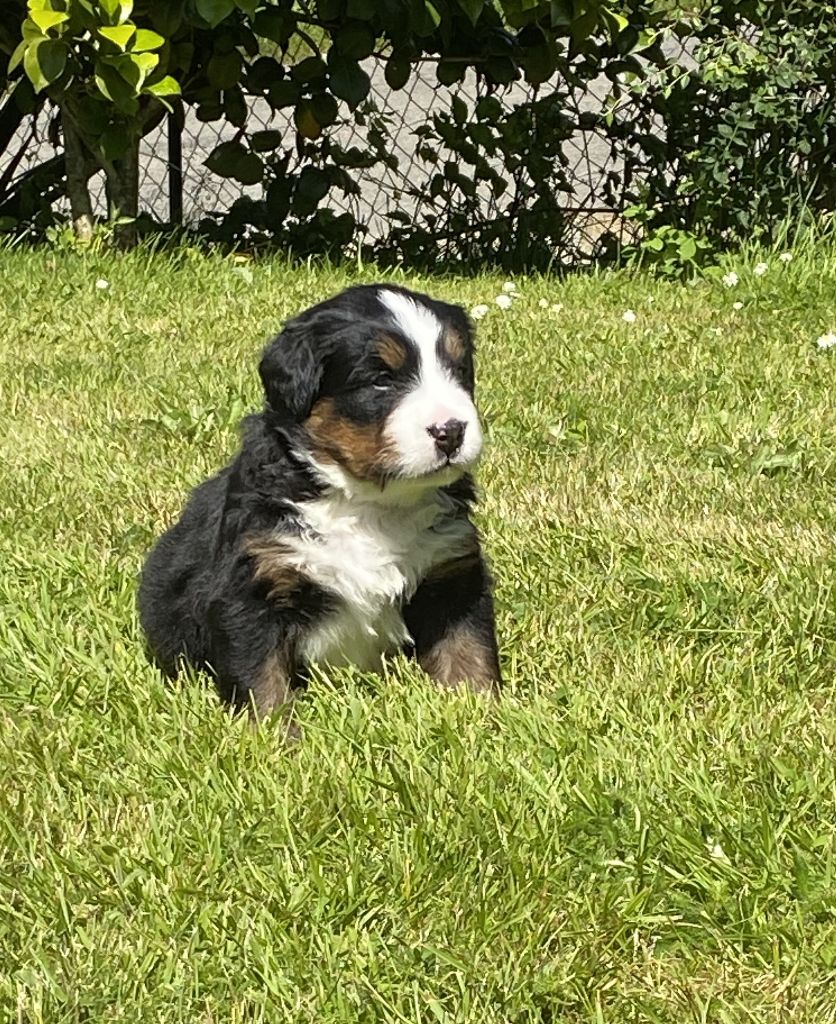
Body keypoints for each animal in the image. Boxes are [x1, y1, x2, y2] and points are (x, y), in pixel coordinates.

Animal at [138, 284, 501, 722]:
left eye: (459, 371)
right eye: (381, 381)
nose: (451, 431)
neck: (370, 503)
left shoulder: (453, 576)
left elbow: (467, 653)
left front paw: (483, 717)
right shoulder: (251, 586)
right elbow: (263, 682)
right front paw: (274, 735)